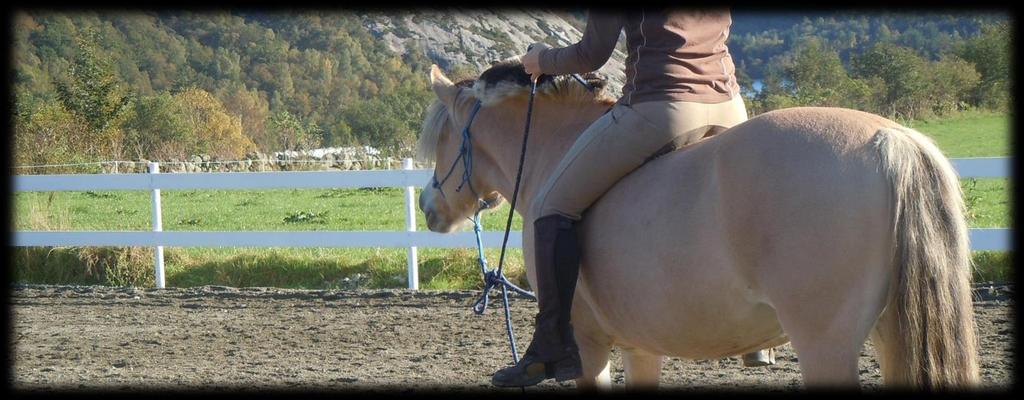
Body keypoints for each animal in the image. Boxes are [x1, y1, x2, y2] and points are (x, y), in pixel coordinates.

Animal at [413, 62, 974, 390]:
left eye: (441, 138)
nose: (427, 207)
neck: (553, 150)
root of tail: (890, 139)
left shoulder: (591, 347)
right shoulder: (640, 347)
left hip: (826, 345)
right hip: (890, 334)